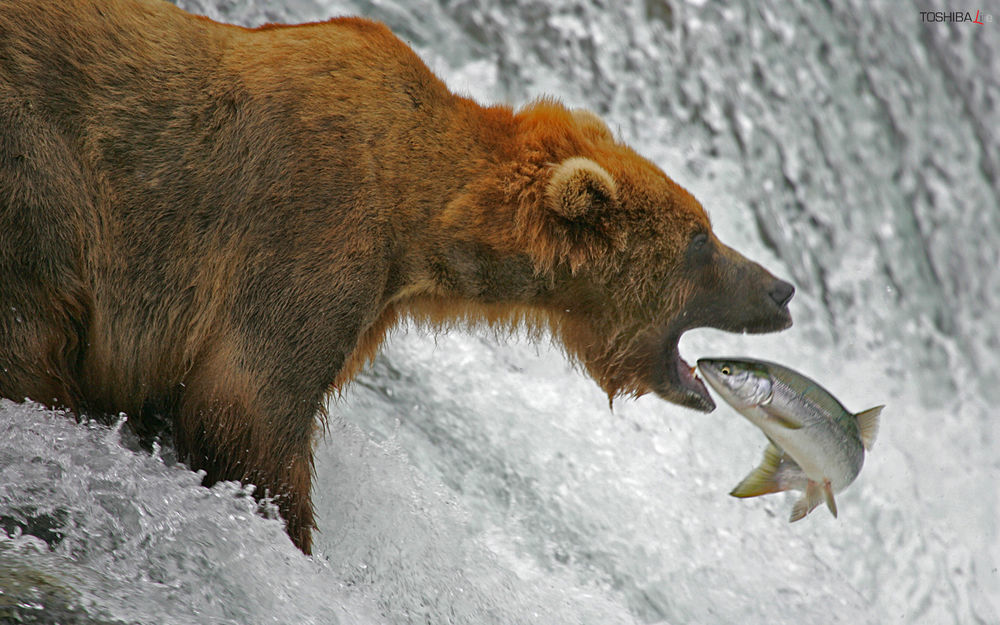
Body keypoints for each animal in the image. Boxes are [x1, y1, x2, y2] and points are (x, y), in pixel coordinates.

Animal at [1, 0, 796, 552]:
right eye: (701, 239)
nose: (782, 288)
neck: (417, 217)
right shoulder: (306, 230)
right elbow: (248, 406)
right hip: (43, 181)